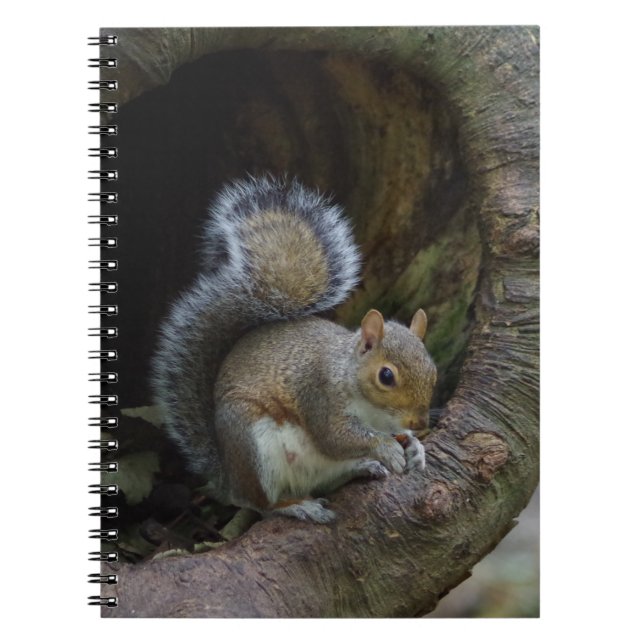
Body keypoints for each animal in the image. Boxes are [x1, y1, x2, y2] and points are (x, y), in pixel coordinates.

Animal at [151, 176, 437, 523]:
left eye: (433, 370)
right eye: (386, 376)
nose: (420, 423)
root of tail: (228, 476)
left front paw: (415, 447)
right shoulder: (319, 394)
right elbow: (336, 437)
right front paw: (385, 448)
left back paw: (363, 467)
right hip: (254, 445)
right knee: (259, 503)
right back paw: (298, 506)